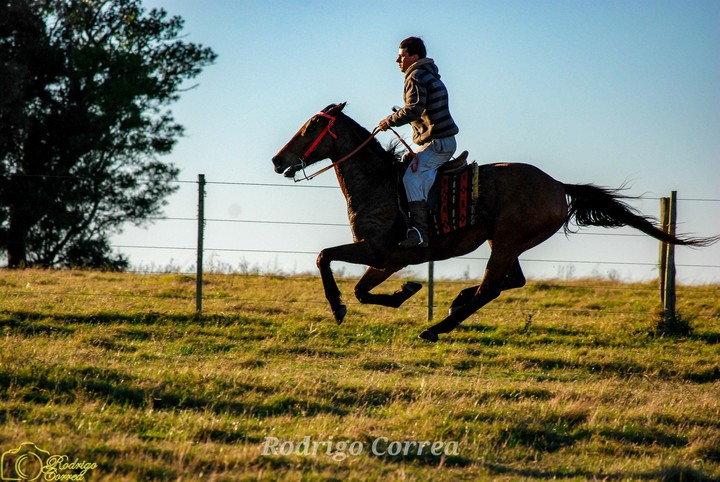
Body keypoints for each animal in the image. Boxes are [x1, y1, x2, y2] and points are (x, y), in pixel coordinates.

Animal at [272, 102, 718, 342]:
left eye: (313, 126)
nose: (278, 159)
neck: (379, 184)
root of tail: (557, 185)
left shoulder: (379, 251)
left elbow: (324, 258)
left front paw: (338, 308)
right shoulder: (389, 259)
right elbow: (363, 289)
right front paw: (406, 291)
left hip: (505, 242)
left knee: (492, 286)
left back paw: (437, 327)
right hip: (506, 243)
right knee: (509, 282)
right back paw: (456, 300)